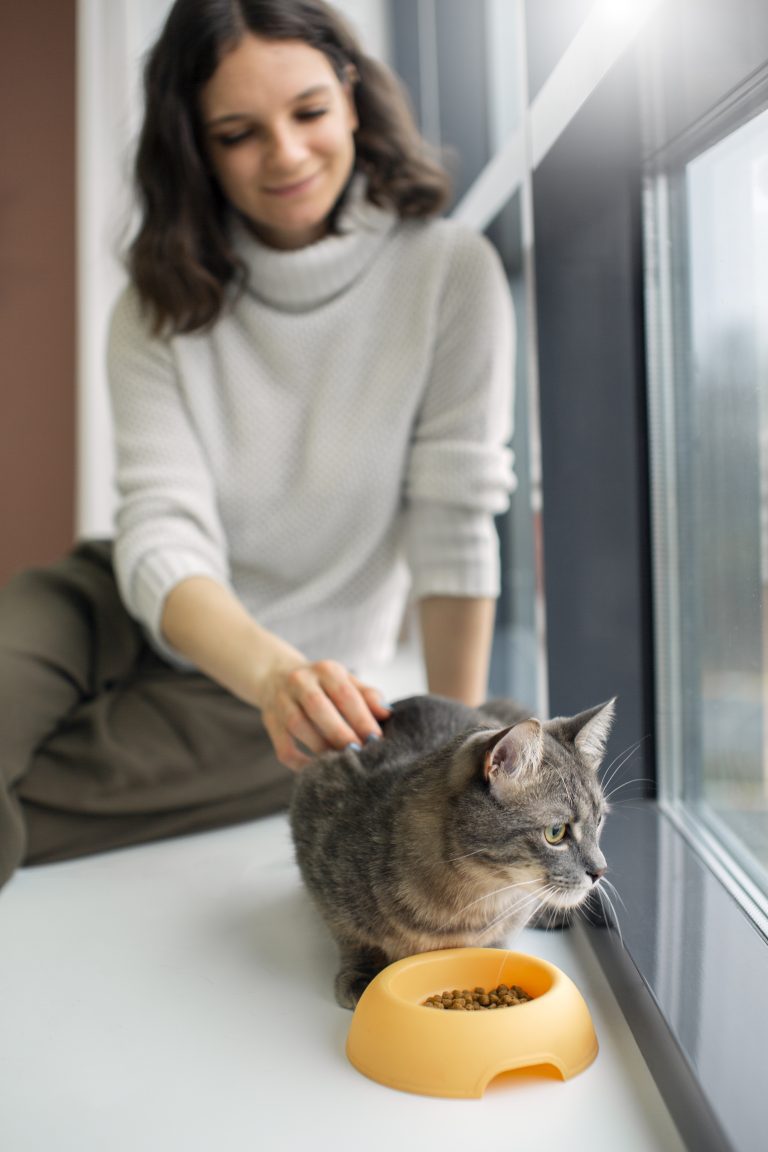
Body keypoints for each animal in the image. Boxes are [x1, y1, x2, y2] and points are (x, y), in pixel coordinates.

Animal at [291, 691, 617, 1009]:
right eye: (555, 832)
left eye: (599, 821)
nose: (600, 870)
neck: (470, 901)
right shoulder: (316, 812)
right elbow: (351, 936)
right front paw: (364, 972)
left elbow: (502, 935)